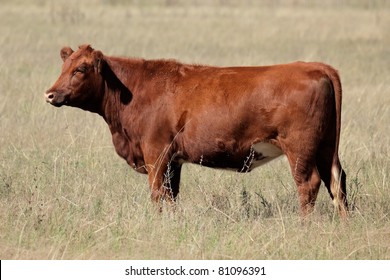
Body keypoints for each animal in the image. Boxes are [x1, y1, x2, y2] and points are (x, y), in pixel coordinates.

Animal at [45, 44, 348, 217]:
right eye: (64, 66)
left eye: (81, 69)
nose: (50, 94)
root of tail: (316, 67)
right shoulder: (173, 161)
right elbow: (171, 195)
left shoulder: (156, 153)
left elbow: (158, 193)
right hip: (325, 148)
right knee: (337, 181)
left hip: (300, 149)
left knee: (308, 184)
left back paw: (304, 224)